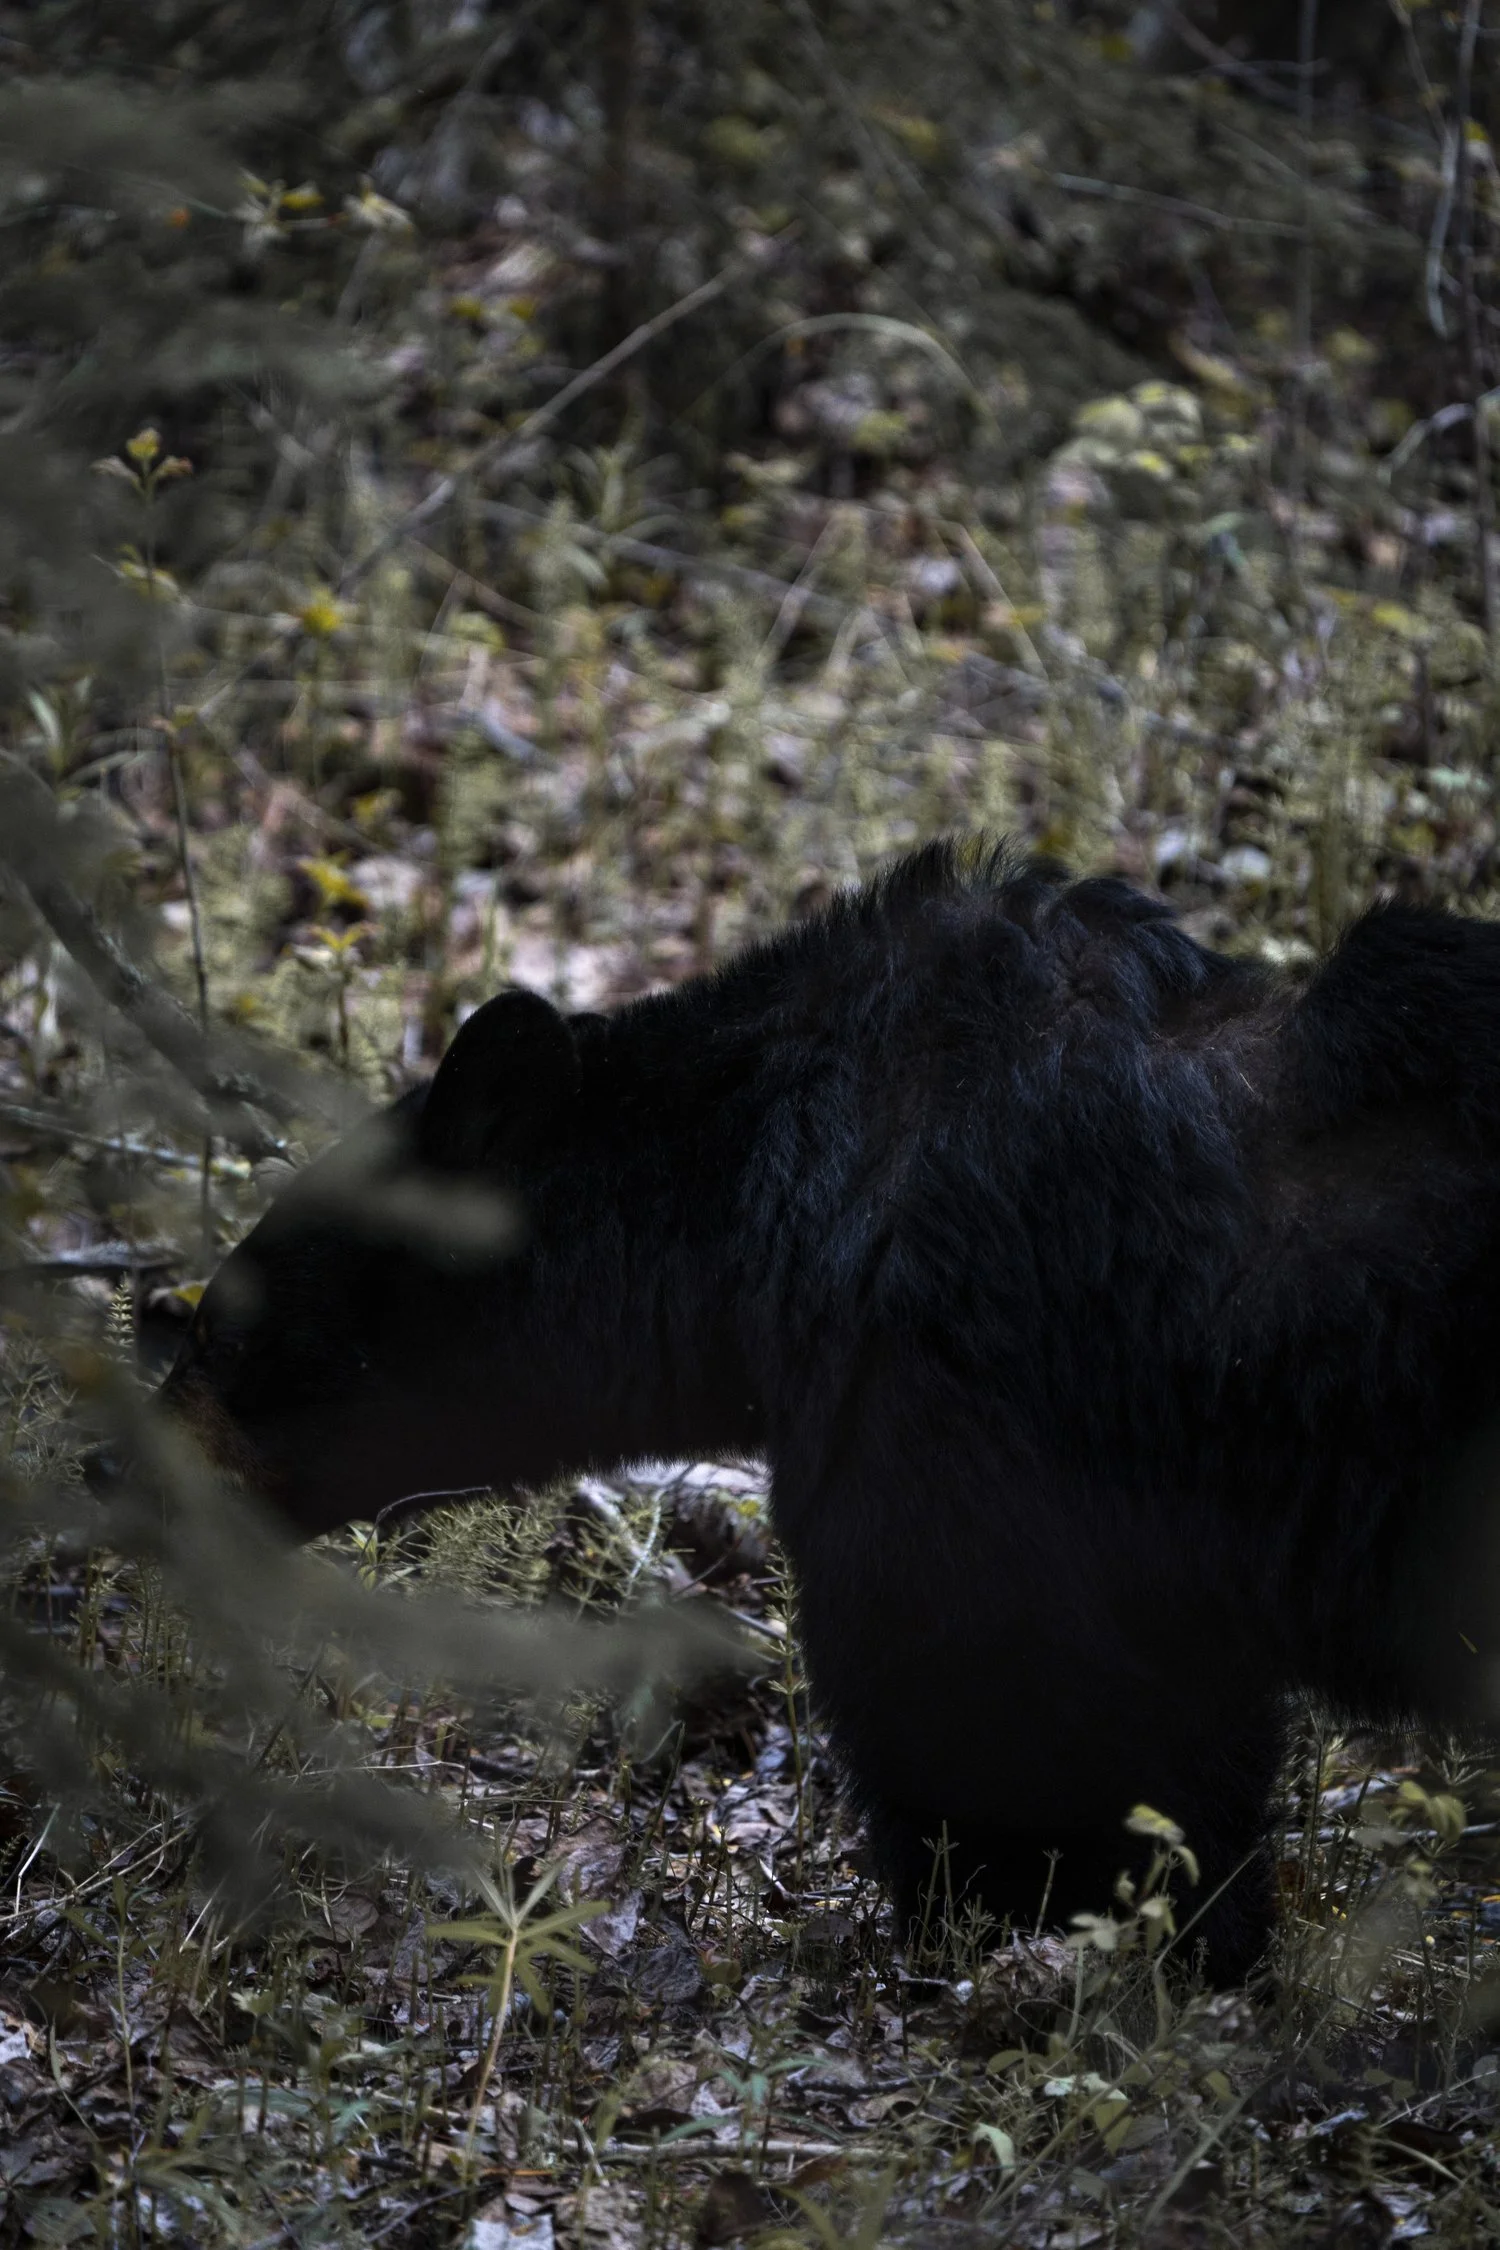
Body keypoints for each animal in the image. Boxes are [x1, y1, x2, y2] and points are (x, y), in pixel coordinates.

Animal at [144, 838, 1500, 1983]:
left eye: (233, 1330)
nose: (127, 1462)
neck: (762, 1197)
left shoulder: (960, 1416)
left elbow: (1023, 1709)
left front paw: (1051, 1940)